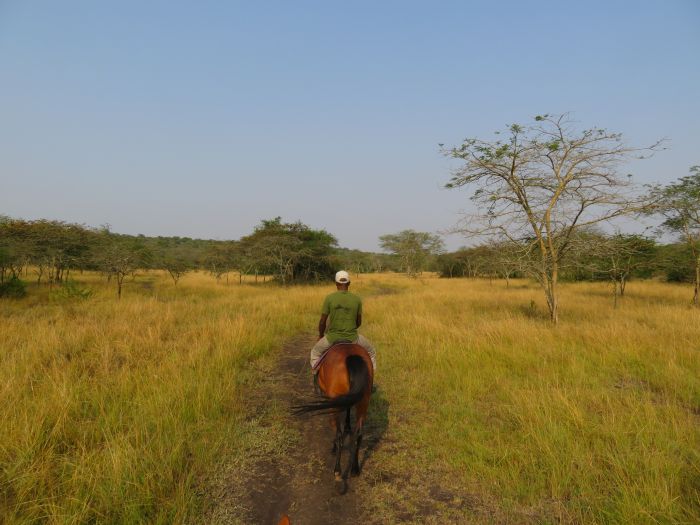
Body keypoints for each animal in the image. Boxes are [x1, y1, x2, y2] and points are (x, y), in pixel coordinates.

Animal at [292, 342, 374, 494]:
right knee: (358, 435)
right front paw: (348, 426)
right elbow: (347, 410)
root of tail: (351, 356)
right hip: (364, 402)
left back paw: (337, 473)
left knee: (339, 435)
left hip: (335, 403)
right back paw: (355, 469)